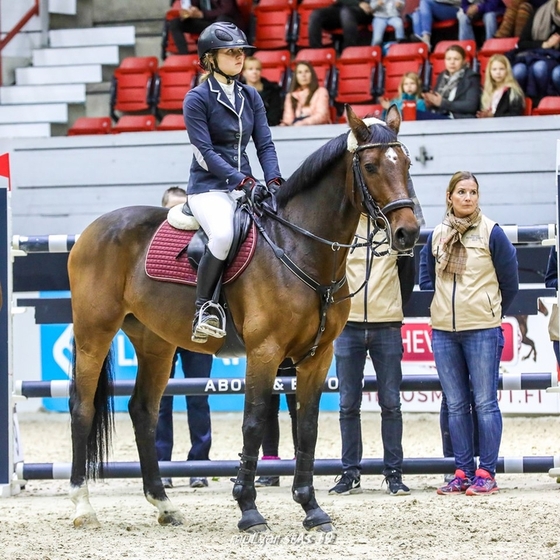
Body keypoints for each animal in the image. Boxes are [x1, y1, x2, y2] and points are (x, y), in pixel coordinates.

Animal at [68, 106, 418, 532]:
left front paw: (311, 508)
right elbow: (253, 423)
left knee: (143, 411)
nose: (408, 232)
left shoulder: (317, 357)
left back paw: (164, 504)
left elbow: (307, 428)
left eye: (406, 163)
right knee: (82, 407)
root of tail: (94, 229)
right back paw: (83, 506)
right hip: (94, 334)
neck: (297, 246)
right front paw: (249, 510)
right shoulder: (265, 352)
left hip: (156, 344)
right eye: (369, 166)